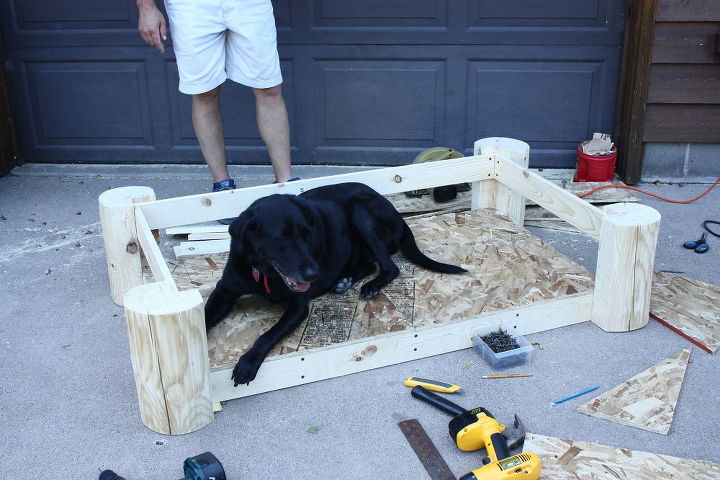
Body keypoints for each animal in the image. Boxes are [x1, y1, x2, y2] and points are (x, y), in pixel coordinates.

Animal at [205, 182, 466, 384]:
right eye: (283, 238)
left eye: (307, 233)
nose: (313, 273)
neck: (263, 274)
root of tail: (398, 215)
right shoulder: (224, 291)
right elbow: (205, 317)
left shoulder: (298, 307)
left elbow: (268, 334)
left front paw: (248, 361)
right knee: (369, 265)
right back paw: (343, 280)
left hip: (359, 213)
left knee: (389, 267)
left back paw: (368, 286)